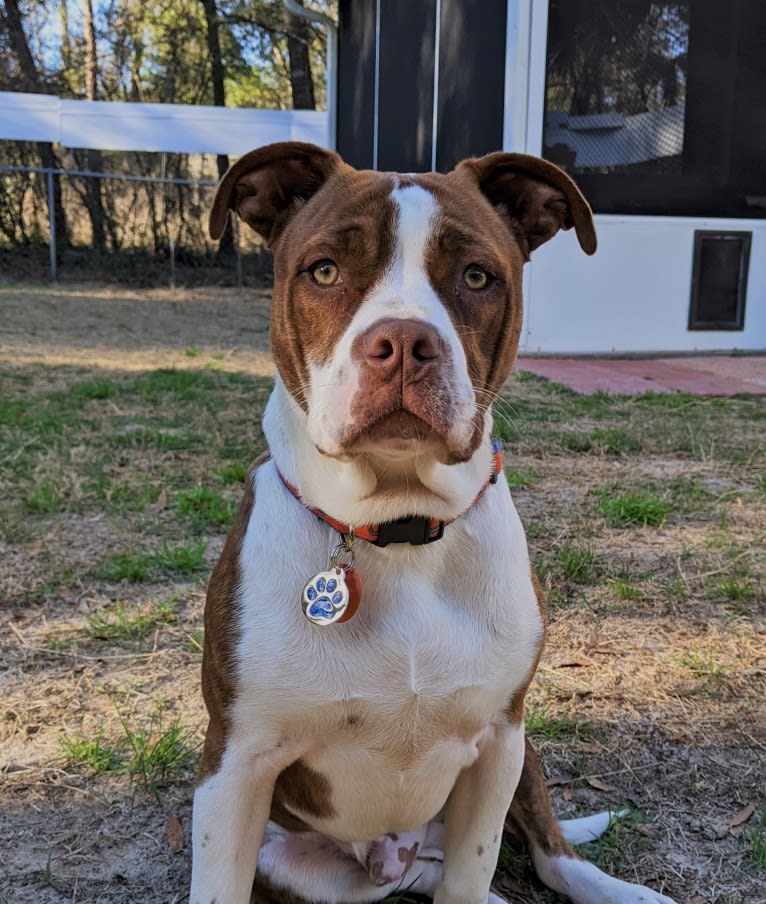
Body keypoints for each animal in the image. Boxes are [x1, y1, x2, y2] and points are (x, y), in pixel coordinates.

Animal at [192, 143, 680, 904]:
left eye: (476, 276)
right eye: (324, 270)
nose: (401, 341)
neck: (398, 531)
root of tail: (390, 857)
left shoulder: (499, 741)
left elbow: (474, 871)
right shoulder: (234, 768)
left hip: (525, 753)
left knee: (546, 856)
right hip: (307, 867)